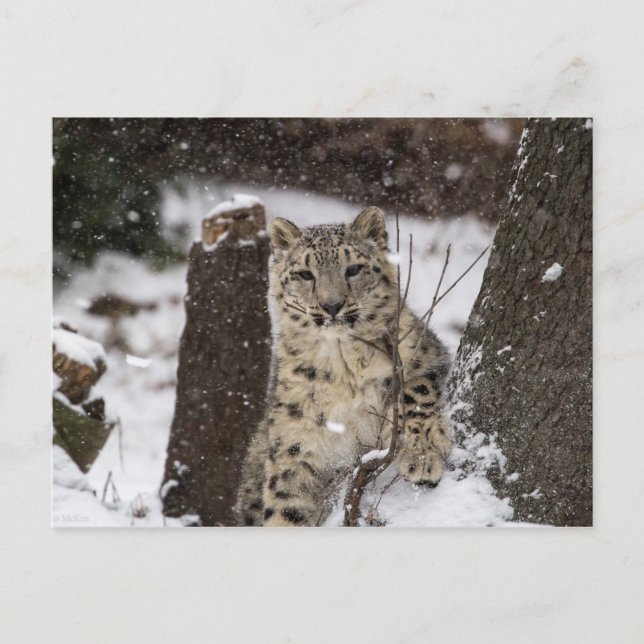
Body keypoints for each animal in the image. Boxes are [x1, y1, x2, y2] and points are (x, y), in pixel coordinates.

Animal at [236, 206, 452, 526]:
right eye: (305, 274)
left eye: (353, 269)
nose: (332, 305)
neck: (342, 365)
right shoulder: (295, 439)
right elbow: (285, 503)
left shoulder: (423, 354)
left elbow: (416, 393)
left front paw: (422, 456)